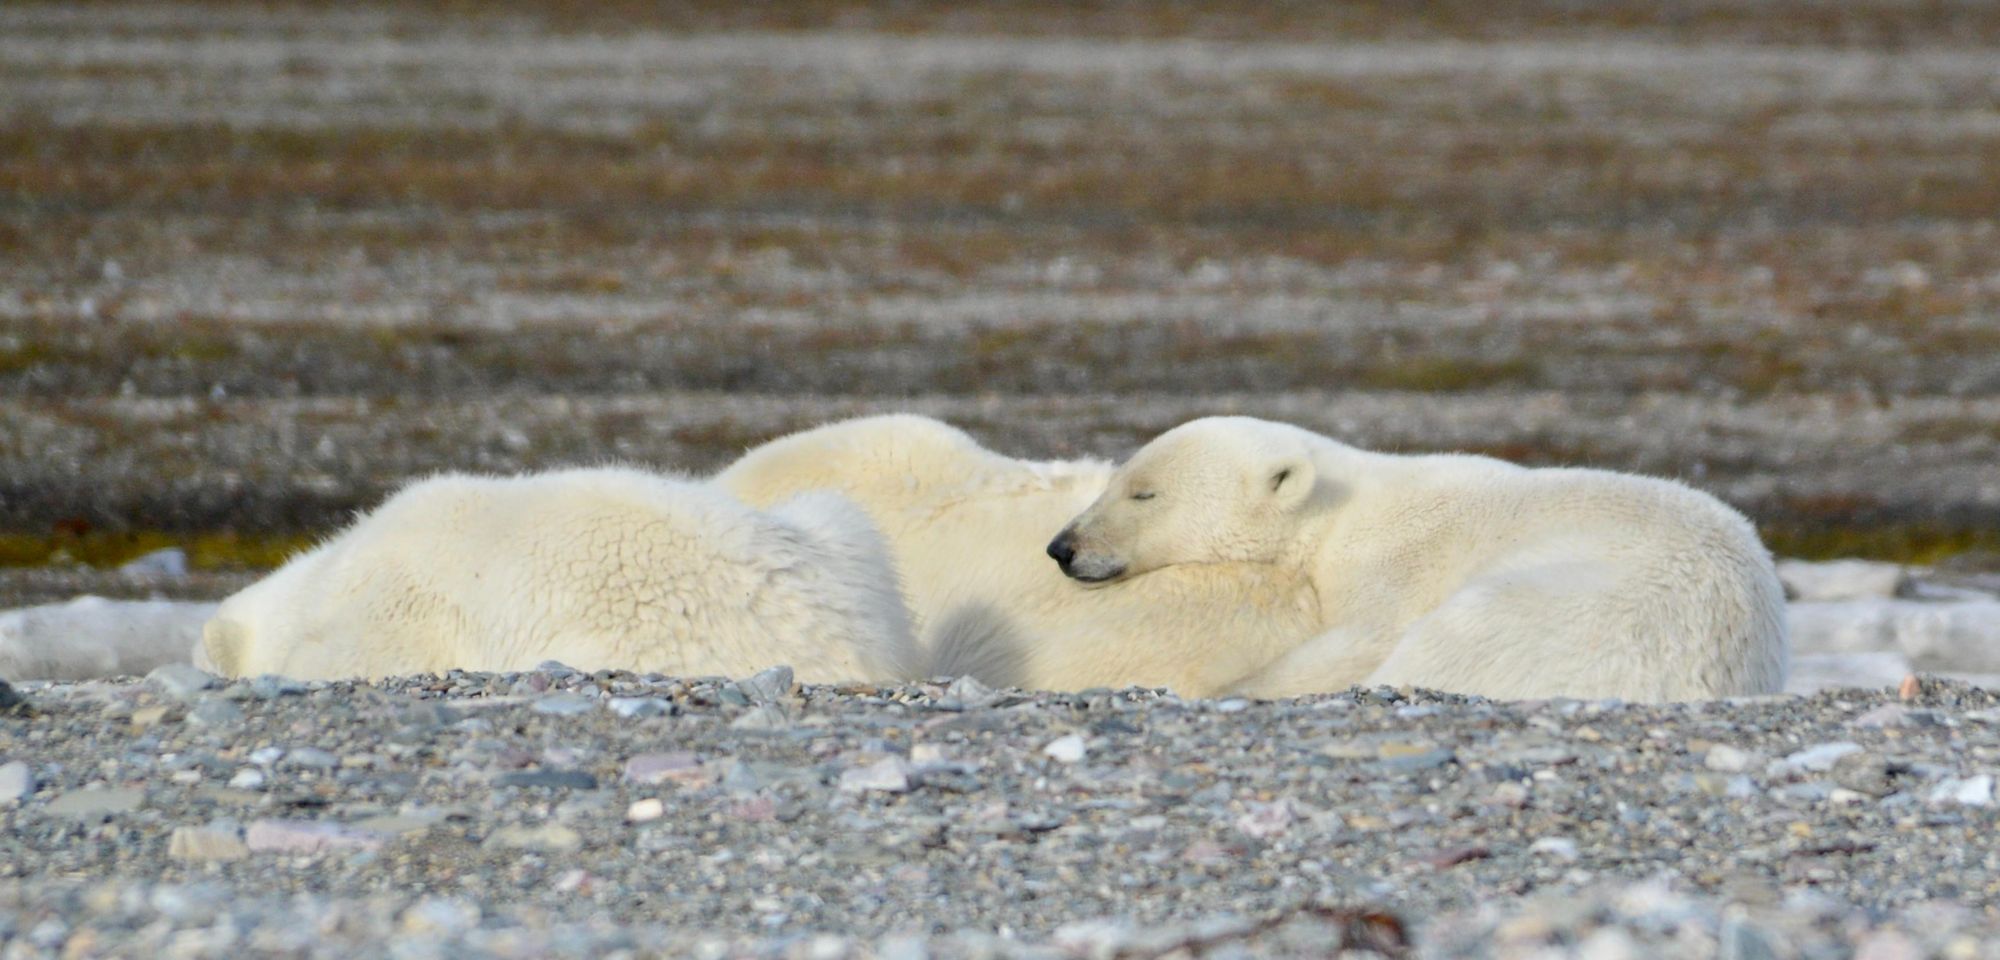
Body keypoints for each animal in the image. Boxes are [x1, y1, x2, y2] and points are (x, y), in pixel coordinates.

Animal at [1056, 416, 1792, 700]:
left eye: (1143, 492)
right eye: (1120, 477)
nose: (1063, 548)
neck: (1338, 514)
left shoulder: (1391, 565)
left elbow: (1362, 639)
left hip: (1581, 611)